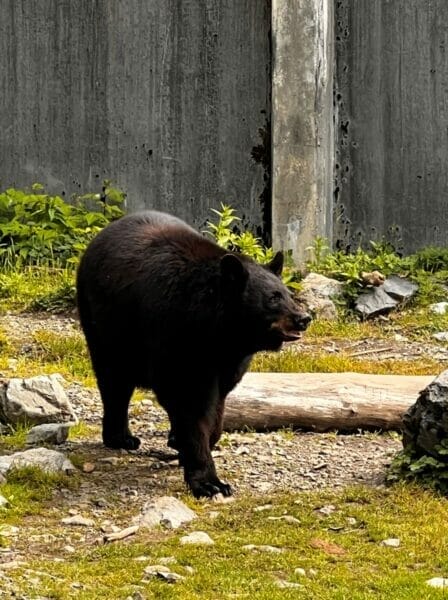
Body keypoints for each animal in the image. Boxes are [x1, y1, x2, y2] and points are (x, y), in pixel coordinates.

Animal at [76, 211, 312, 496]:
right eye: (273, 298)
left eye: (289, 294)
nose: (303, 318)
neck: (218, 331)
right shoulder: (175, 337)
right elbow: (189, 401)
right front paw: (209, 481)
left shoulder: (227, 359)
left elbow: (217, 403)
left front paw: (198, 442)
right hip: (105, 325)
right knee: (114, 381)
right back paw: (121, 437)